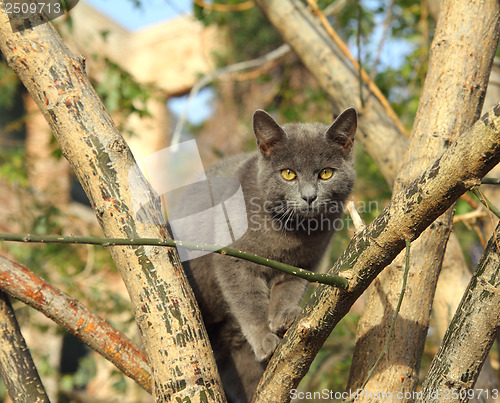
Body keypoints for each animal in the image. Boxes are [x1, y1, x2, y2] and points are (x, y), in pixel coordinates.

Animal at [176, 108, 356, 403]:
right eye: (288, 174)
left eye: (326, 173)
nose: (309, 197)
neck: (291, 233)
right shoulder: (233, 259)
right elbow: (248, 300)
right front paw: (265, 338)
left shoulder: (304, 263)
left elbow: (290, 288)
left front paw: (284, 316)